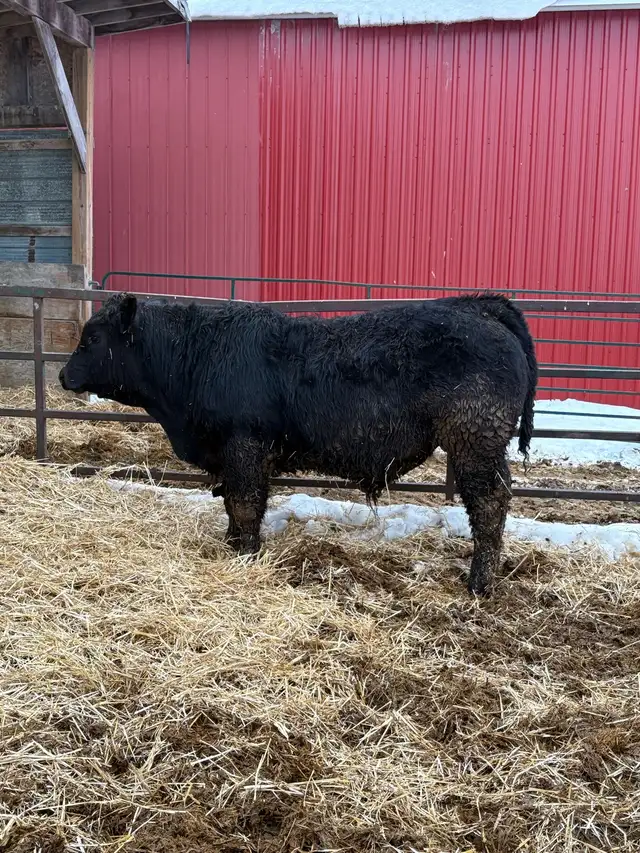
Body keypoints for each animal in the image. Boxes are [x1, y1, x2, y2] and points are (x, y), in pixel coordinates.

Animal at [59, 291, 537, 595]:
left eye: (92, 338)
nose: (63, 375)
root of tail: (478, 306)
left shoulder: (244, 448)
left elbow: (245, 503)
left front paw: (245, 554)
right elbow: (232, 502)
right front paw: (232, 544)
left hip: (476, 442)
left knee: (490, 504)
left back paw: (479, 583)